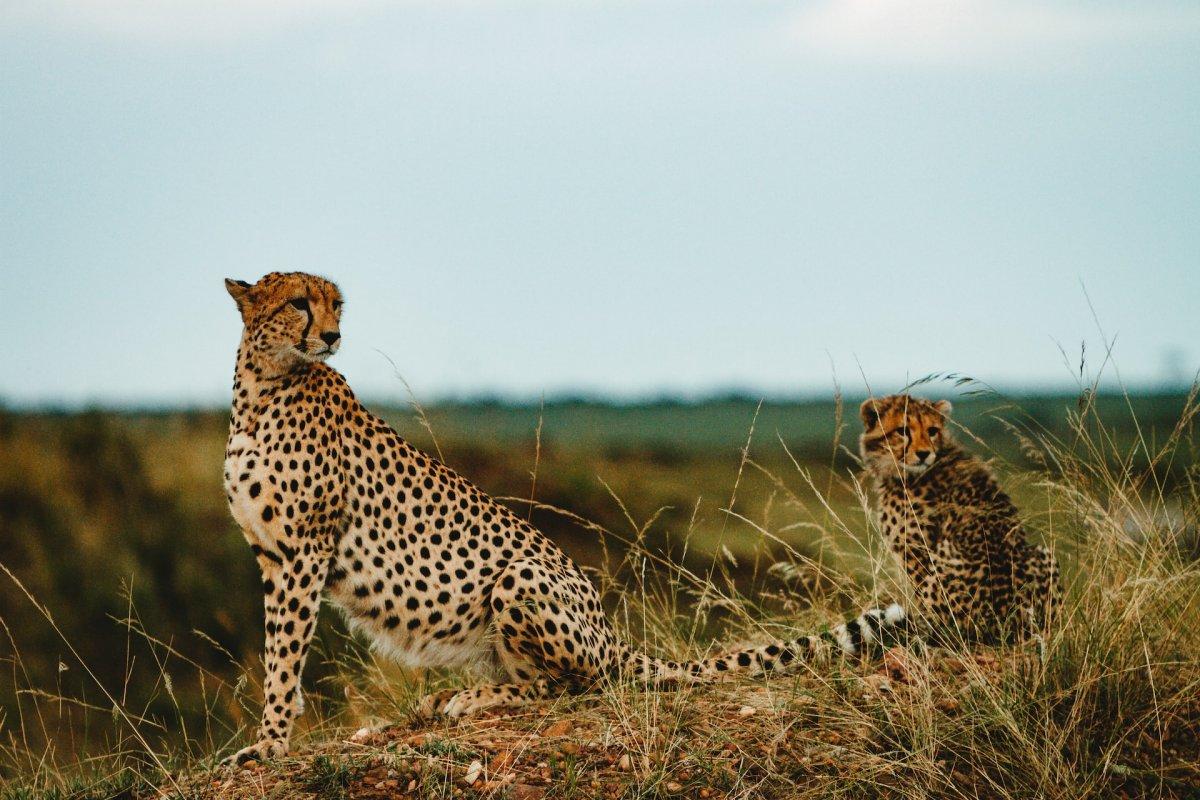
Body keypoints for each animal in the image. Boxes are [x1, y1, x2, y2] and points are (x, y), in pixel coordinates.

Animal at [220, 272, 902, 767]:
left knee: (574, 685)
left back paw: (470, 697)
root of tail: (609, 631)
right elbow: (278, 649)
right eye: (300, 303)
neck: (262, 388)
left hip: (520, 578)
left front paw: (269, 744)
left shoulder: (305, 550)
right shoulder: (273, 556)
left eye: (337, 305)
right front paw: (272, 735)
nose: (333, 335)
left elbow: (285, 654)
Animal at [864, 393, 1060, 642]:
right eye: (903, 431)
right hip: (1045, 554)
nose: (924, 453)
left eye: (932, 430)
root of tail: (1010, 624)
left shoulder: (916, 553)